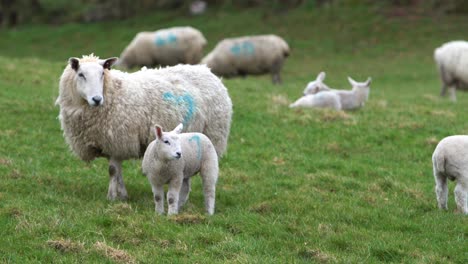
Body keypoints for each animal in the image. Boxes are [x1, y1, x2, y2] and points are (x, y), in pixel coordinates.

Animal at [56, 54, 232, 201]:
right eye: (81, 74)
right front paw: (122, 195)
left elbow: (112, 170)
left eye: (102, 74)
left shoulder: (118, 139)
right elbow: (117, 171)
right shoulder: (111, 143)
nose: (97, 99)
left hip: (213, 135)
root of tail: (207, 71)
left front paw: (112, 197)